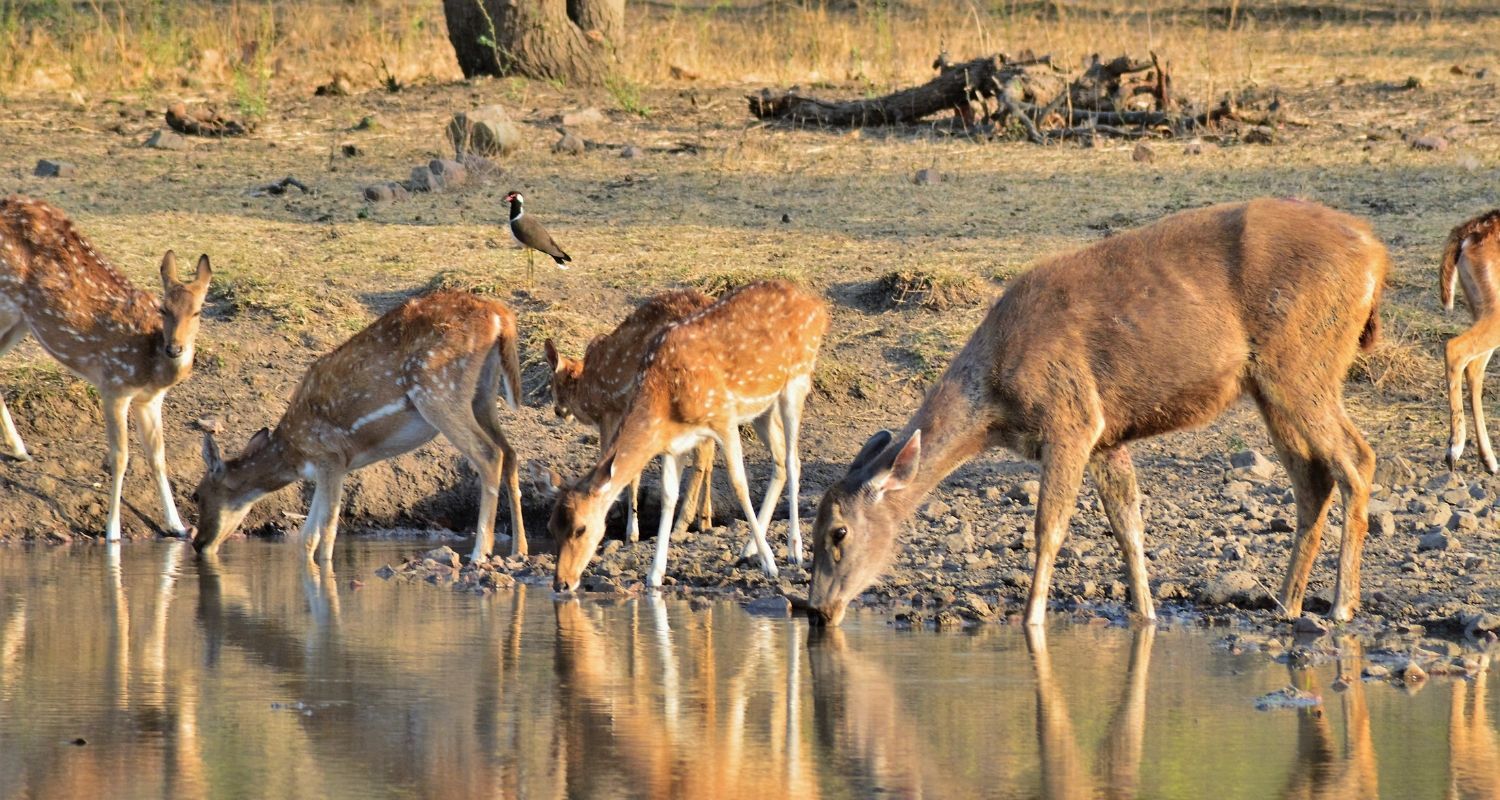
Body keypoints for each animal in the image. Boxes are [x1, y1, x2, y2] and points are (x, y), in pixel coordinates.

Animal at [0, 196, 212, 541]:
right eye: (163, 308)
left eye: (197, 312)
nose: (175, 348)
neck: (150, 365)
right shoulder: (114, 385)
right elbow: (120, 457)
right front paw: (112, 530)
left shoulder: (150, 401)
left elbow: (158, 457)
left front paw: (177, 525)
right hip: (6, 304)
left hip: (21, 320)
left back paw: (20, 450)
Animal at [191, 290, 527, 562]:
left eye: (196, 495)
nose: (198, 544)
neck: (293, 453)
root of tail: (500, 316)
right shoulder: (328, 467)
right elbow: (306, 538)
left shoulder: (330, 457)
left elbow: (325, 534)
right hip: (482, 393)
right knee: (510, 452)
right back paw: (518, 549)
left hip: (437, 389)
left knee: (489, 453)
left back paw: (480, 552)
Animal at [544, 289, 720, 543]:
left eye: (552, 383)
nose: (558, 411)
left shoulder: (612, 412)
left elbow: (617, 463)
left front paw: (629, 530)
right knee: (710, 448)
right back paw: (704, 521)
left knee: (703, 453)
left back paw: (680, 526)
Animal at [808, 198, 1387, 627]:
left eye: (838, 533)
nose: (815, 609)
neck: (997, 397)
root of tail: (1376, 256)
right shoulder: (1108, 437)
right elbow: (1129, 526)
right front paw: (1146, 615)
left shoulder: (1072, 419)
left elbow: (1049, 525)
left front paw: (1032, 619)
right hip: (1271, 384)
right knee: (1313, 477)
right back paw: (1287, 602)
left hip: (1300, 362)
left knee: (1357, 457)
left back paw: (1339, 606)